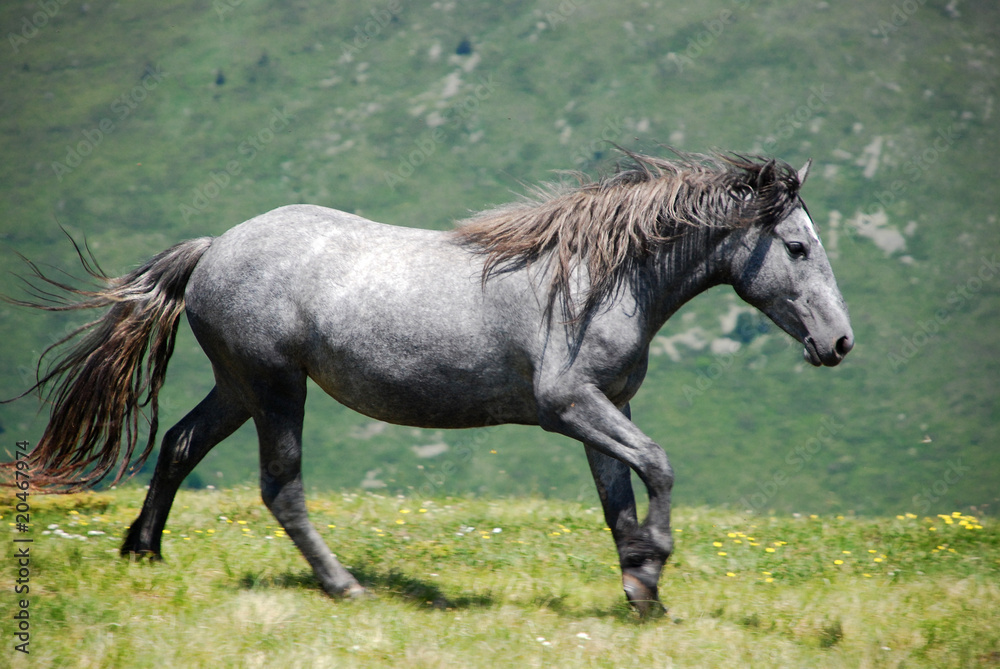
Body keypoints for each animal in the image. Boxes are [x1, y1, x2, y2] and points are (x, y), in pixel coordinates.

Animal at [2, 150, 853, 616]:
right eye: (798, 247)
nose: (840, 342)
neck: (594, 279)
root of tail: (213, 247)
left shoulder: (608, 407)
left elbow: (620, 499)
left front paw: (642, 588)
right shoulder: (570, 405)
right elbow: (660, 467)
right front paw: (655, 565)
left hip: (240, 387)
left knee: (179, 445)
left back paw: (143, 551)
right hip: (277, 388)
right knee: (281, 486)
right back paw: (344, 586)